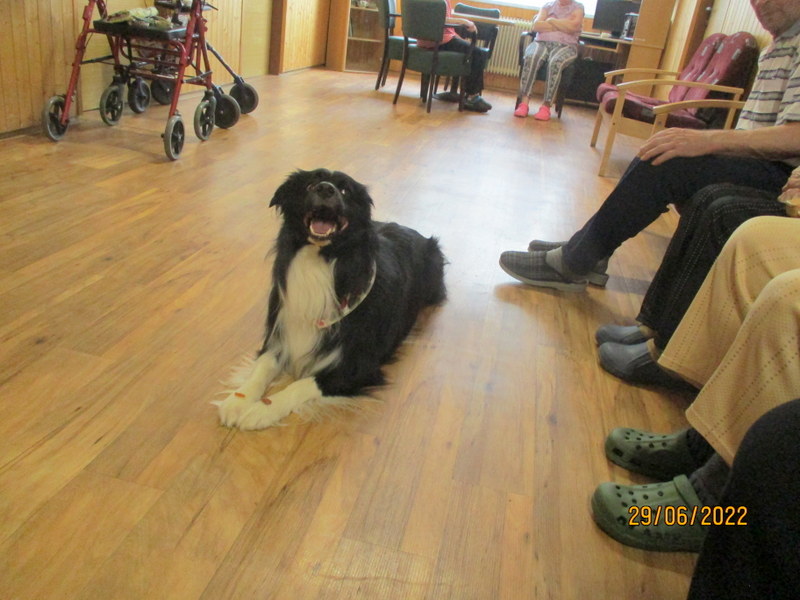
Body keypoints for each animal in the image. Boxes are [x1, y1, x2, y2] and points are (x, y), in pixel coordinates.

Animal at [213, 168, 447, 429]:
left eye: (345, 190)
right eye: (310, 184)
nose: (325, 189)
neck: (320, 261)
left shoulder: (358, 367)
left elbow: (302, 384)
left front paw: (262, 410)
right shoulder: (280, 335)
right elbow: (261, 368)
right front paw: (237, 401)